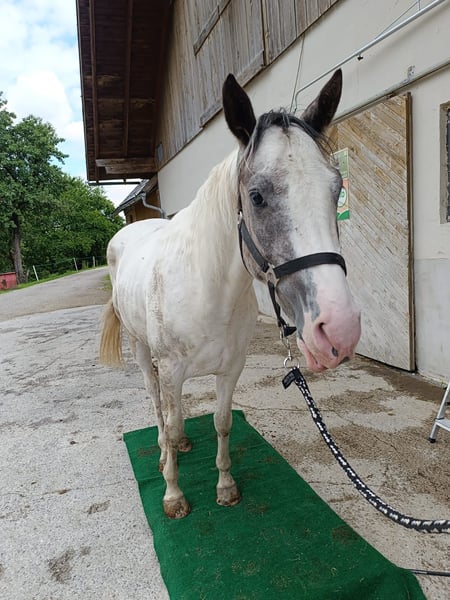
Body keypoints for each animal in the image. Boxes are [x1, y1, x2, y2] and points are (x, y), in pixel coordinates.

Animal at [100, 70, 361, 519]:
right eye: (256, 196)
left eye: (336, 189)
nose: (339, 329)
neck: (208, 291)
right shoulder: (170, 369)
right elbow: (169, 418)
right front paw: (173, 494)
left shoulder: (230, 370)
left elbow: (222, 423)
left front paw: (225, 486)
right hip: (141, 350)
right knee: (157, 404)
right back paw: (164, 451)